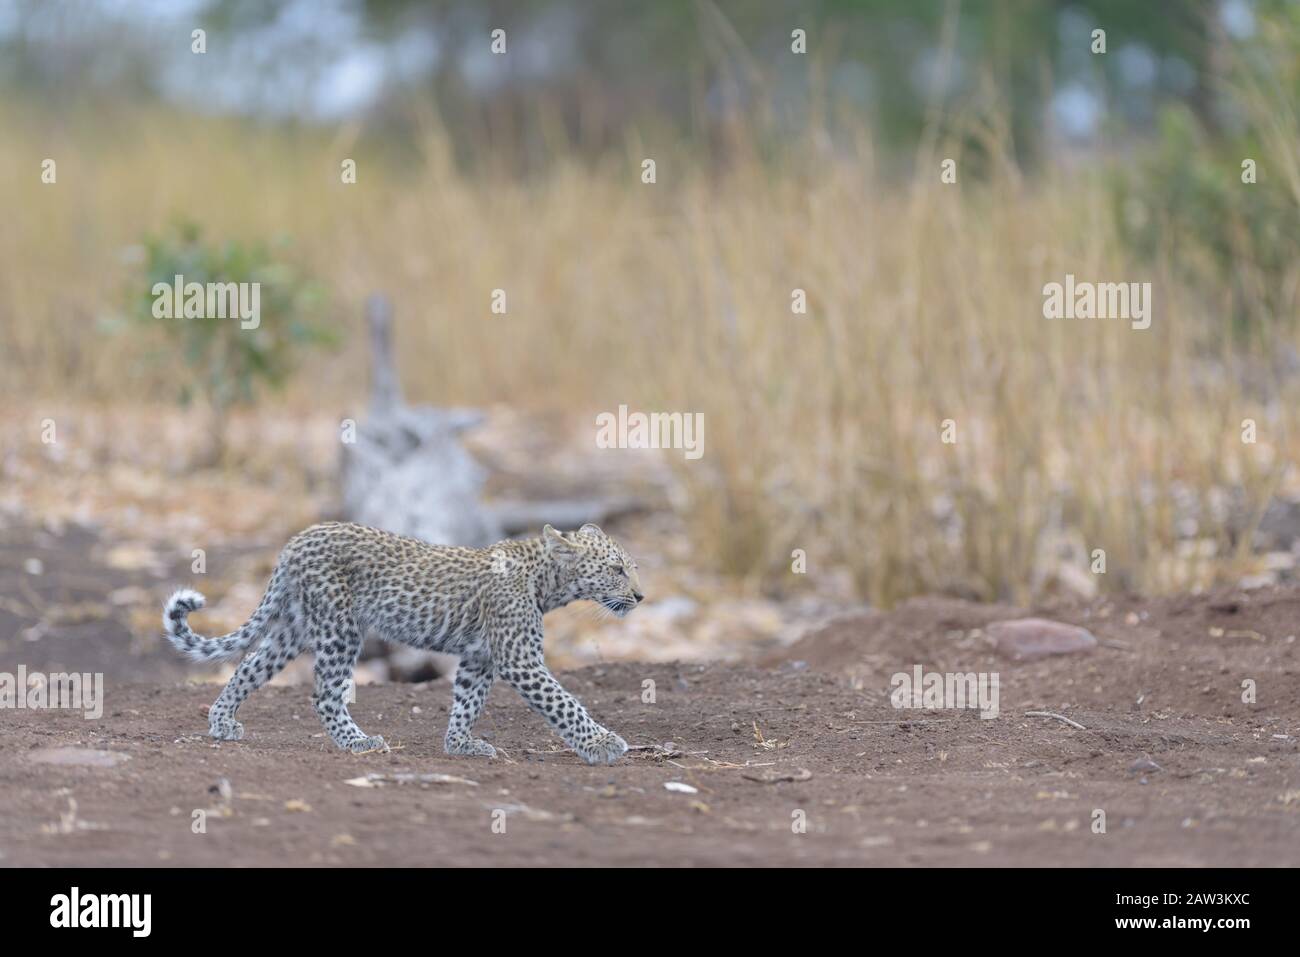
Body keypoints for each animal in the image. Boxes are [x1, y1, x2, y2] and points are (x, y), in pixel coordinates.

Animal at [162, 521, 643, 764]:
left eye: (631, 568)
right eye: (616, 569)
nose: (640, 596)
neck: (549, 583)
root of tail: (294, 542)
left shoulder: (479, 658)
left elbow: (468, 702)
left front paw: (460, 745)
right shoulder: (517, 658)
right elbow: (565, 702)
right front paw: (602, 744)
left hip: (294, 628)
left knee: (249, 665)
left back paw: (223, 723)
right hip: (341, 627)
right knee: (324, 694)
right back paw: (358, 742)